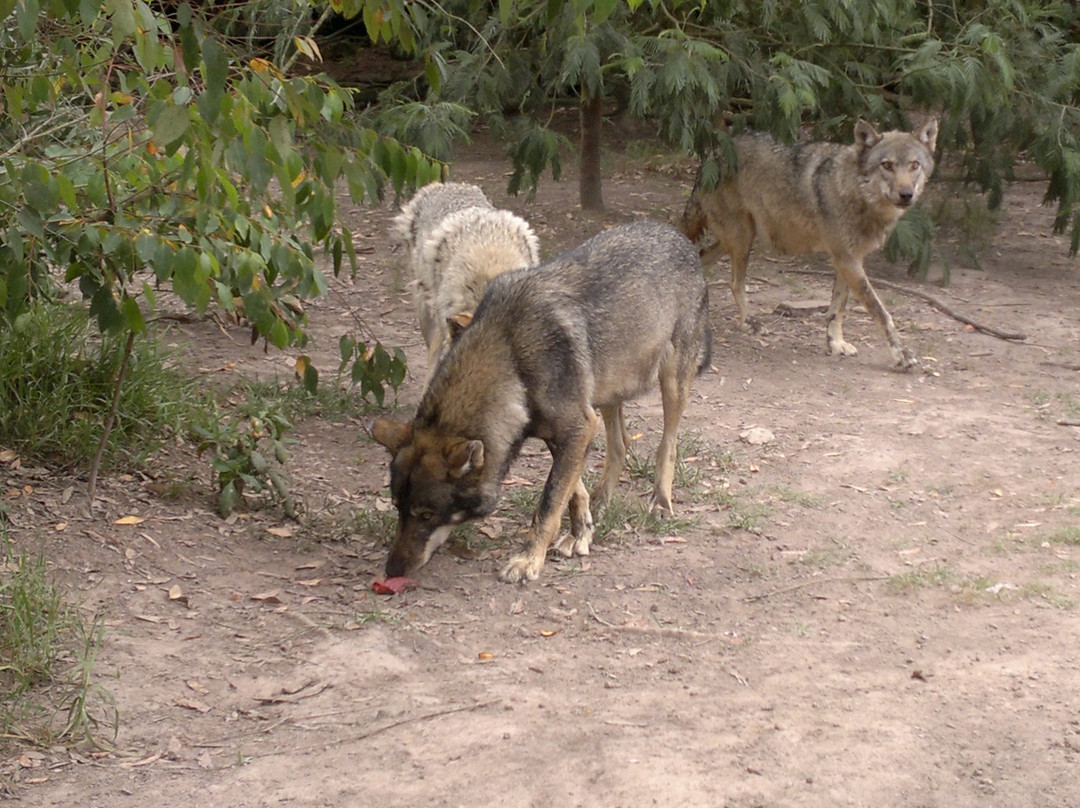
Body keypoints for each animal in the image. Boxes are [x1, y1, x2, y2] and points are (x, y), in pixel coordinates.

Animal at [372, 219, 712, 583]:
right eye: (397, 507)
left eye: (426, 514)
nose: (392, 570)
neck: (511, 356)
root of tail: (675, 234)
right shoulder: (565, 430)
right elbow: (572, 491)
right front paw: (581, 532)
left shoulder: (578, 426)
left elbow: (549, 502)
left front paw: (529, 560)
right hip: (606, 393)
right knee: (620, 444)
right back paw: (603, 501)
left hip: (671, 384)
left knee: (667, 445)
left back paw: (661, 503)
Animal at [681, 118, 938, 369]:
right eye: (887, 165)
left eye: (914, 165)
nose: (906, 194)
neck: (854, 190)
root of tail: (713, 154)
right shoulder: (846, 259)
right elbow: (881, 311)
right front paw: (901, 355)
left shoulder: (849, 259)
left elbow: (838, 308)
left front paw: (835, 343)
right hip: (741, 239)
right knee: (734, 282)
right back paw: (749, 322)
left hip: (738, 239)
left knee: (702, 257)